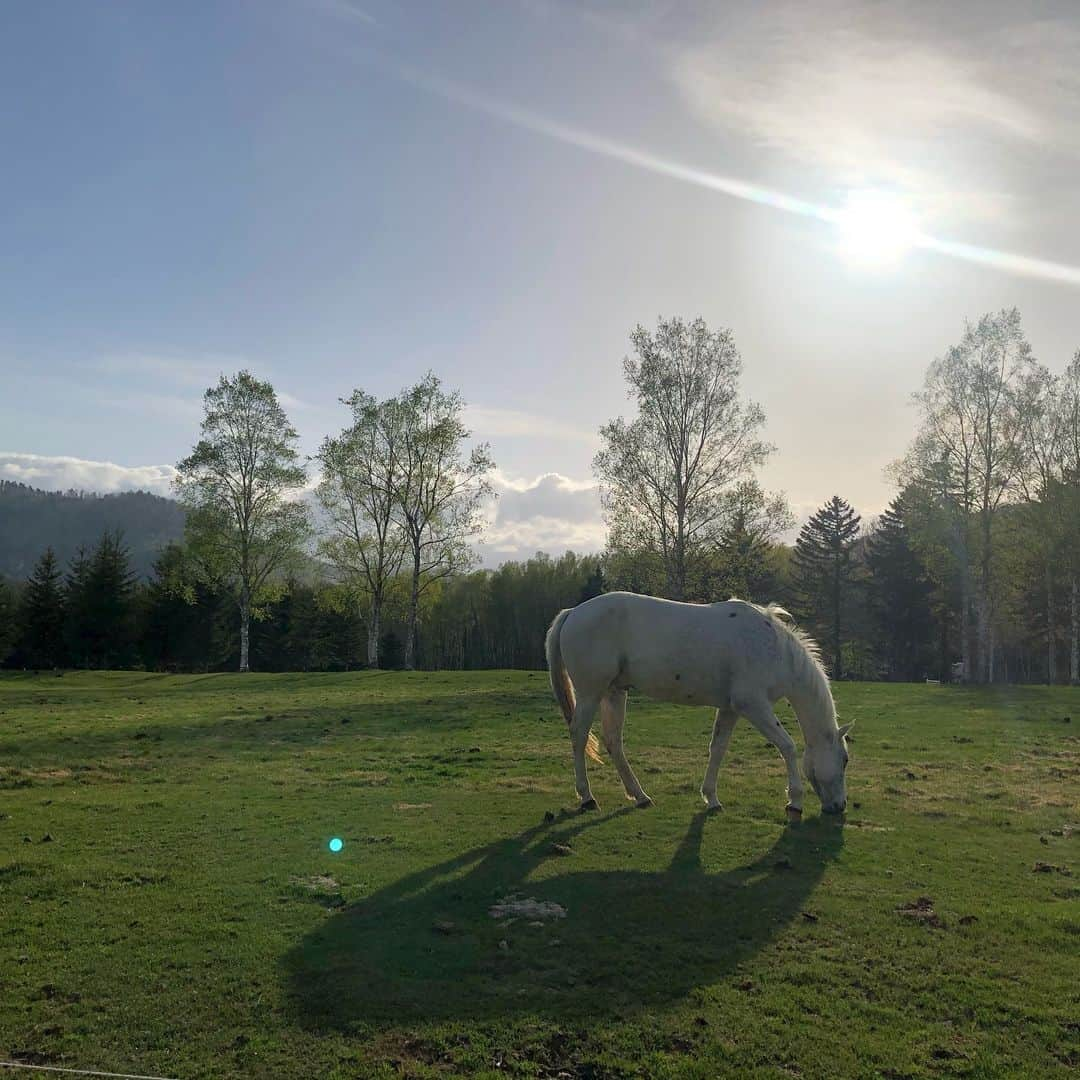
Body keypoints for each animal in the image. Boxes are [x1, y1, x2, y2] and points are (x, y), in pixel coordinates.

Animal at [548, 591, 851, 816]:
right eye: (845, 760)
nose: (840, 806)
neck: (772, 647)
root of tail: (573, 612)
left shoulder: (730, 708)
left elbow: (717, 749)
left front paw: (711, 798)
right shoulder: (753, 706)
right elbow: (787, 746)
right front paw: (795, 802)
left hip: (614, 692)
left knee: (613, 742)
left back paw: (640, 795)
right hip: (590, 693)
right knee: (579, 735)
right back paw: (587, 797)